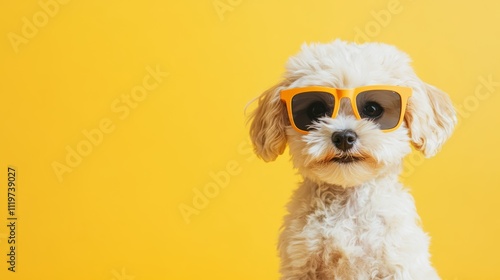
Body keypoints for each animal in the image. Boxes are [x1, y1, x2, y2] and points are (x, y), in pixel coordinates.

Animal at [248, 40, 456, 280]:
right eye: (316, 110)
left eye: (372, 109)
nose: (344, 137)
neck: (347, 206)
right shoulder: (300, 262)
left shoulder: (399, 263)